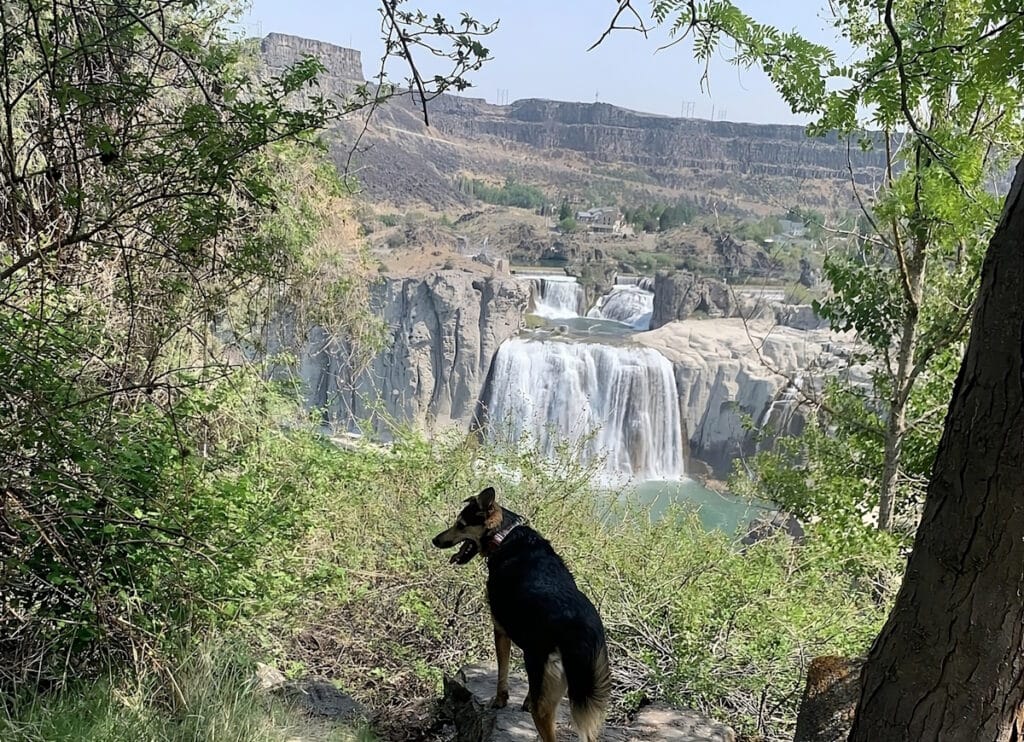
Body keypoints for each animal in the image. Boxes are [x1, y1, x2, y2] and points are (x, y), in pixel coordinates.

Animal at [430, 487, 606, 740]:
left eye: (461, 524)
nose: (435, 540)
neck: (504, 536)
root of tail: (577, 632)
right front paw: (525, 700)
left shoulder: (500, 630)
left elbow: (502, 671)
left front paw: (500, 700)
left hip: (548, 702)